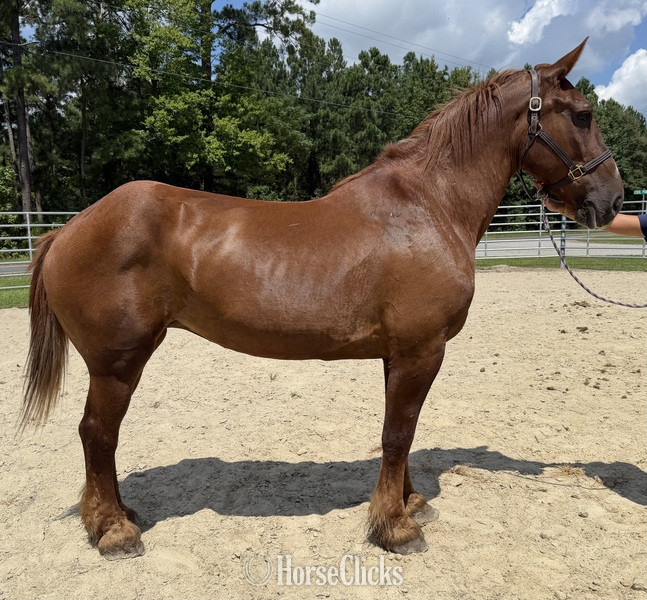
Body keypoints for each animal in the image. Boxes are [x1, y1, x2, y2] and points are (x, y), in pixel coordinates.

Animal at [21, 39, 623, 558]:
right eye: (584, 114)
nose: (612, 199)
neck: (428, 206)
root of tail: (69, 229)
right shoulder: (421, 350)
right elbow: (397, 433)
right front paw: (394, 528)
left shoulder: (400, 354)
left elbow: (402, 432)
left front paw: (409, 504)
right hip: (117, 363)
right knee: (98, 434)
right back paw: (113, 531)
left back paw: (118, 516)